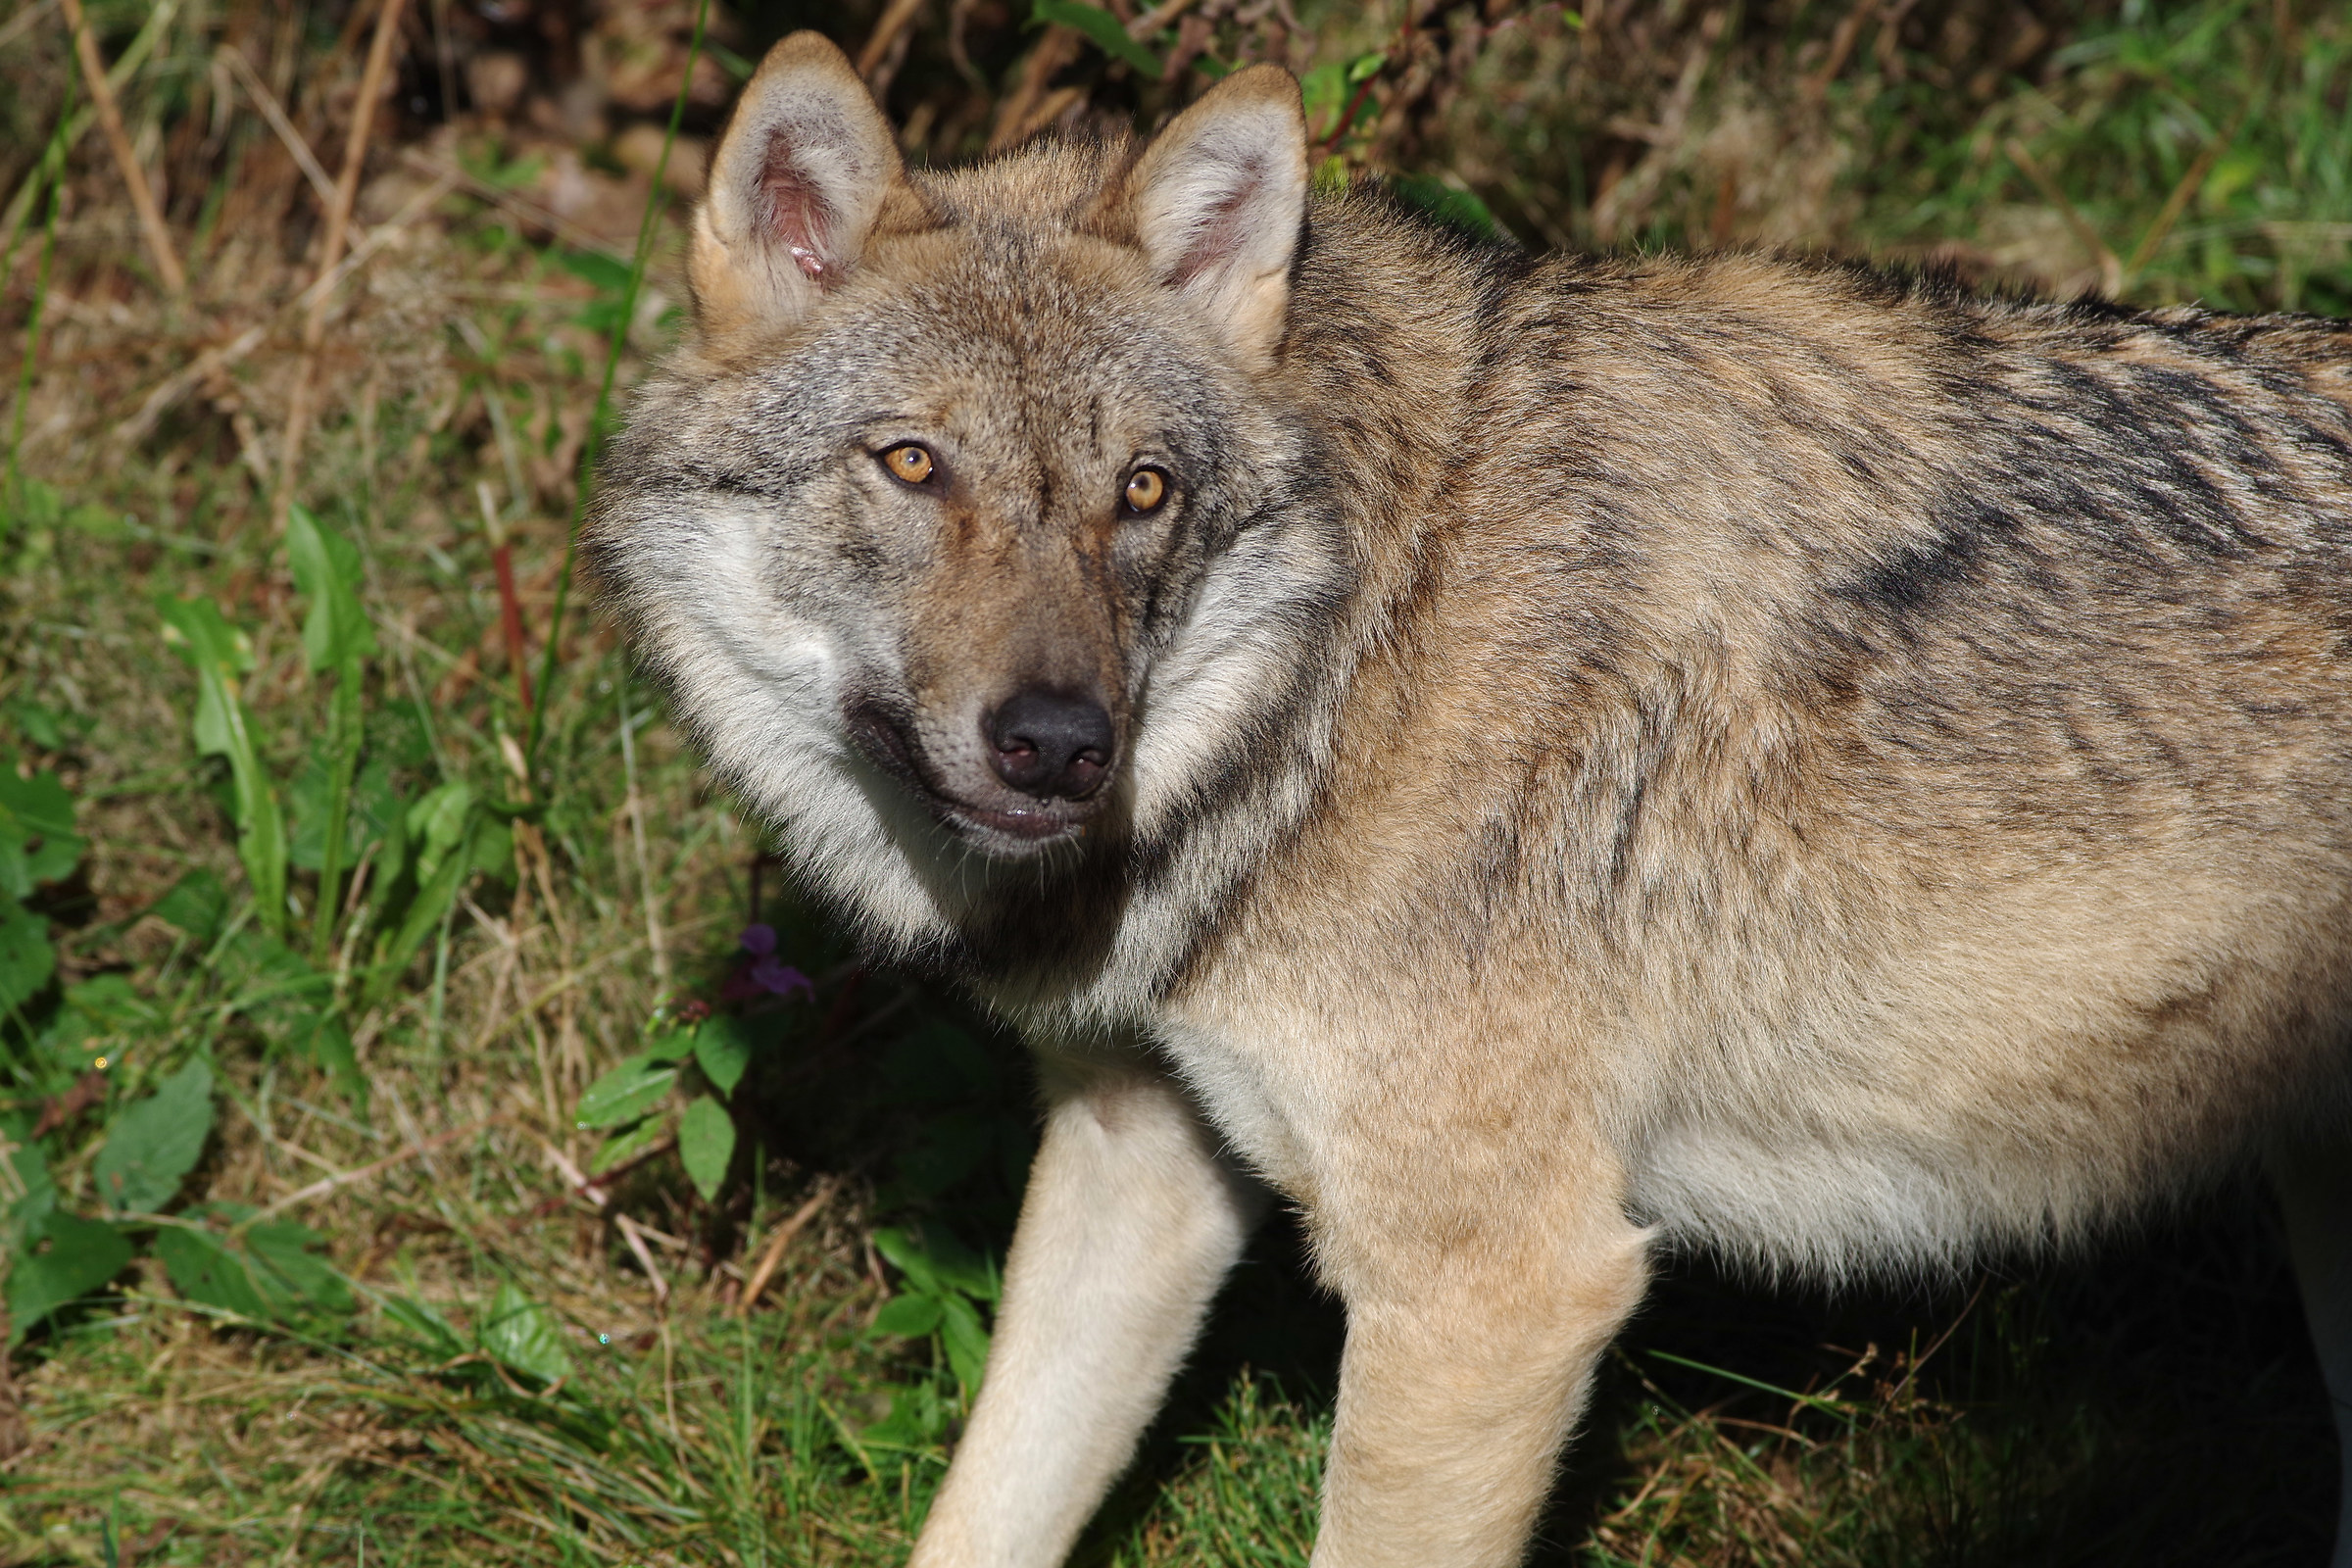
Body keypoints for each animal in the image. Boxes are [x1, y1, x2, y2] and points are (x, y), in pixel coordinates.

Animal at [585, 30, 2352, 1567]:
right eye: (911, 465)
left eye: (1142, 493)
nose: (1061, 746)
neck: (1354, 663)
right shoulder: (1142, 1155)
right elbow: (983, 1513)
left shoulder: (1496, 1291)